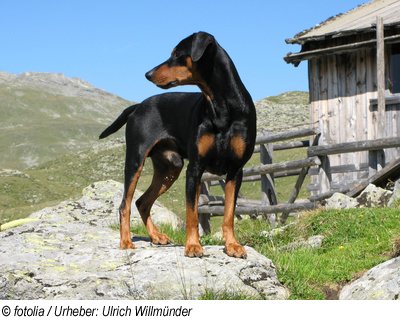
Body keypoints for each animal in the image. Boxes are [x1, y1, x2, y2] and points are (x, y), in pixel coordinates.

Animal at [100, 31, 256, 258]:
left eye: (177, 54)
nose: (147, 74)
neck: (222, 107)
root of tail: (138, 106)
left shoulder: (235, 170)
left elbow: (228, 213)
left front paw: (232, 245)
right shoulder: (195, 168)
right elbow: (192, 215)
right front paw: (193, 246)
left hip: (170, 168)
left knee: (142, 202)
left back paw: (156, 236)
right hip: (136, 160)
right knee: (125, 205)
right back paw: (126, 241)